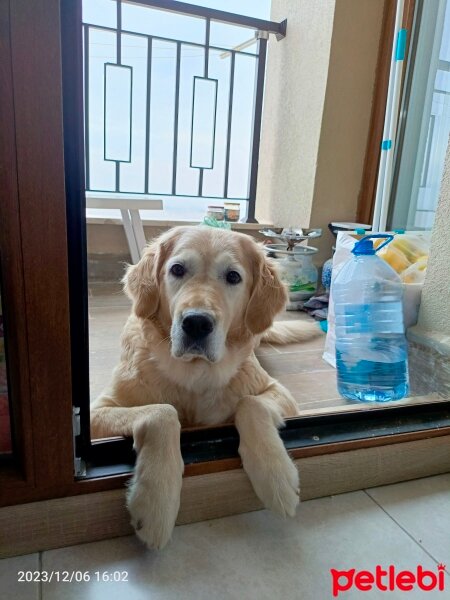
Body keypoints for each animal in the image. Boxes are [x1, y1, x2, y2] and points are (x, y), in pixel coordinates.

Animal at [90, 225, 320, 548]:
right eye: (177, 269)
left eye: (233, 277)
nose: (196, 323)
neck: (194, 374)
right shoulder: (96, 413)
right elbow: (163, 412)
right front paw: (156, 501)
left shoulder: (280, 394)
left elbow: (250, 404)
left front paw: (277, 476)